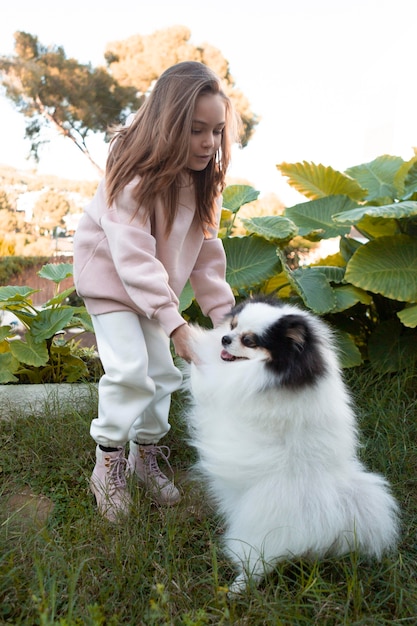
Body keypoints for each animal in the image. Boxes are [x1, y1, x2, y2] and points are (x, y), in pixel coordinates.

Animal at [184, 294, 398, 592]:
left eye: (249, 340)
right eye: (234, 325)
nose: (225, 339)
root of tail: (331, 517)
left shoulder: (225, 389)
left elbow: (203, 377)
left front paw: (189, 336)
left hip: (259, 533)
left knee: (257, 564)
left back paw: (235, 589)